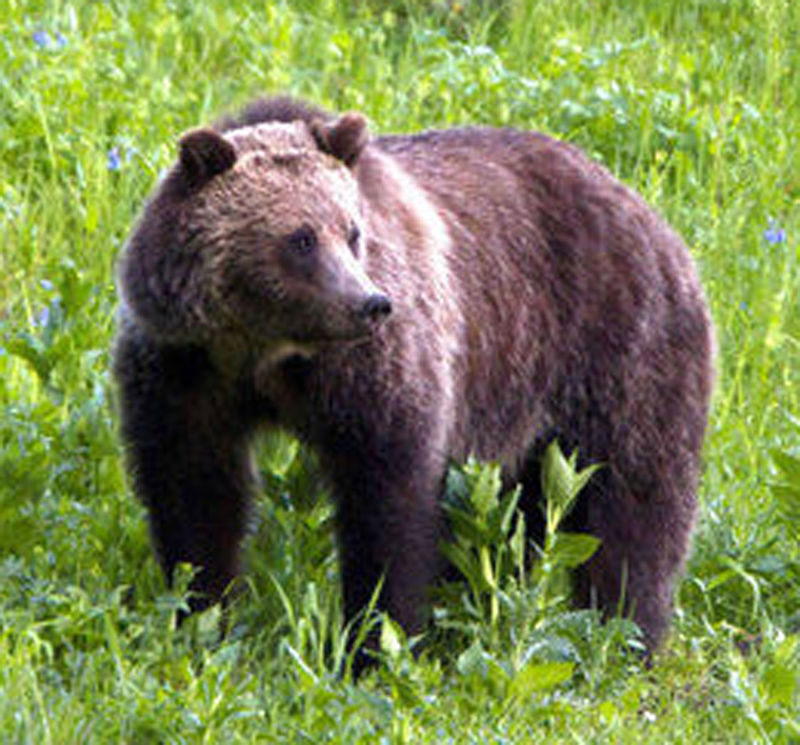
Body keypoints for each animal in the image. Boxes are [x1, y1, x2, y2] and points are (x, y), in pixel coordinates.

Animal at [113, 96, 714, 670]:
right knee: (522, 514)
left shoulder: (372, 372)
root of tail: (649, 214)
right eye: (301, 238)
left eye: (352, 232)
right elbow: (195, 491)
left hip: (617, 351)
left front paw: (374, 643)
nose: (369, 303)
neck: (265, 349)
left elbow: (388, 498)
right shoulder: (184, 368)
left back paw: (625, 636)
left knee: (635, 503)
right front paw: (200, 616)